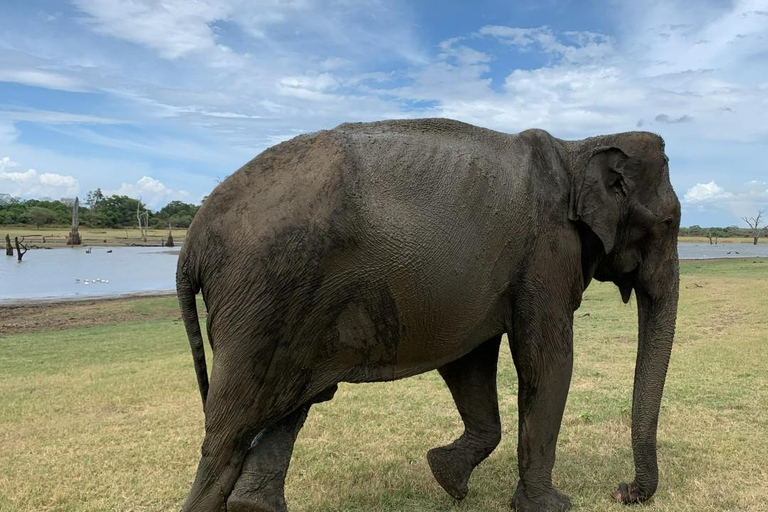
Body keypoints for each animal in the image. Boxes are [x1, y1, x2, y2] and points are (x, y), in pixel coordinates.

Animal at [177, 117, 680, 512]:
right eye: (669, 223)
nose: (622, 491)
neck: (579, 147)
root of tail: (191, 242)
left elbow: (470, 362)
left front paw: (446, 477)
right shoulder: (546, 254)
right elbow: (548, 362)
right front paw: (550, 506)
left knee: (290, 405)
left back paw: (253, 504)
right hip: (264, 294)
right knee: (229, 433)